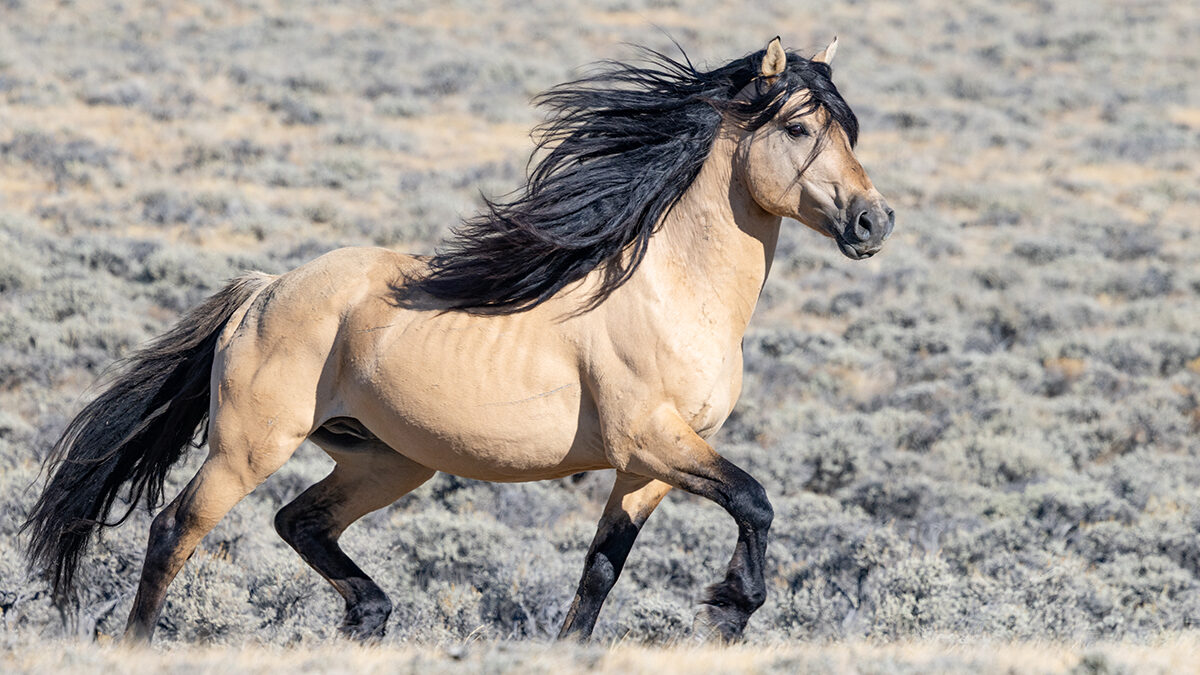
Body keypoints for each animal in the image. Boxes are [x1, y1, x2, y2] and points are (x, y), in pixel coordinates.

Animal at [24, 36, 893, 643]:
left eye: (850, 127)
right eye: (799, 125)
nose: (872, 221)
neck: (671, 290)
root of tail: (265, 289)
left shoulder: (646, 468)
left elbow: (600, 569)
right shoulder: (652, 438)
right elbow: (755, 498)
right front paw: (731, 606)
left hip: (385, 459)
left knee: (300, 522)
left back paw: (371, 614)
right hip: (249, 446)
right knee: (175, 530)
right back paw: (142, 642)